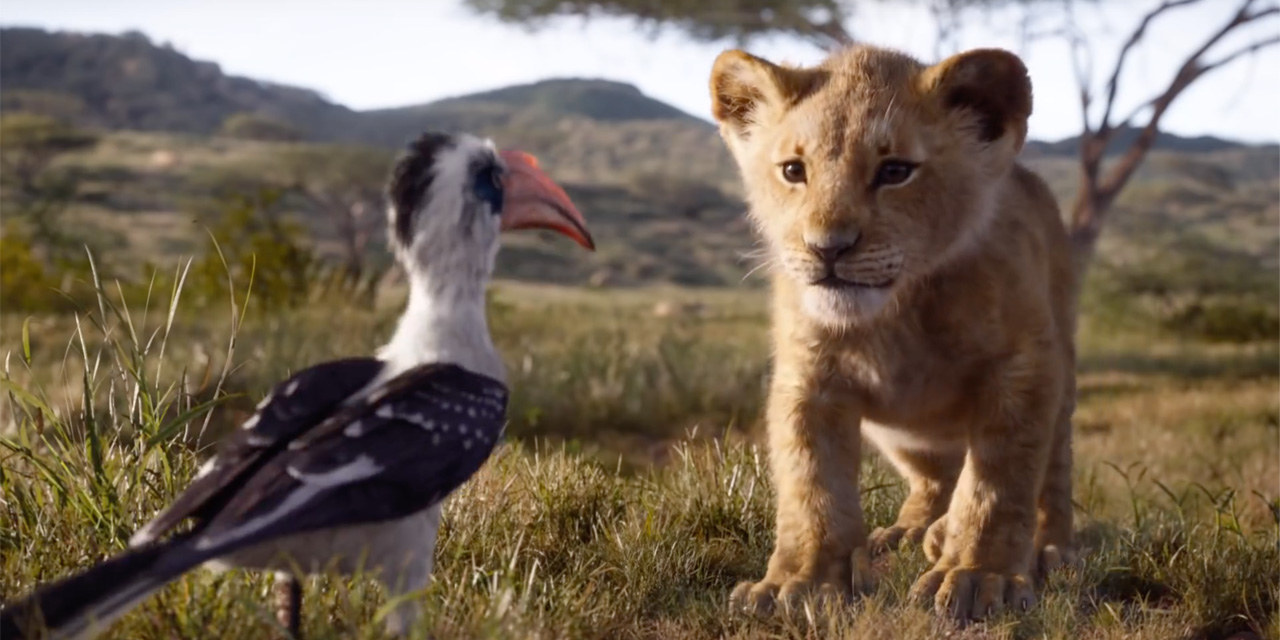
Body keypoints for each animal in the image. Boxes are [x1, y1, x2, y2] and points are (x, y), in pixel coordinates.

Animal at [708, 44, 1078, 620]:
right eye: (793, 170)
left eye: (895, 171)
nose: (828, 247)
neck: (896, 314)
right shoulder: (808, 378)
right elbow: (811, 484)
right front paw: (799, 583)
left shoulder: (1023, 367)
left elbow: (998, 483)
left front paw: (976, 576)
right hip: (904, 436)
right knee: (934, 477)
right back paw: (910, 532)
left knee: (1052, 475)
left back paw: (1047, 548)